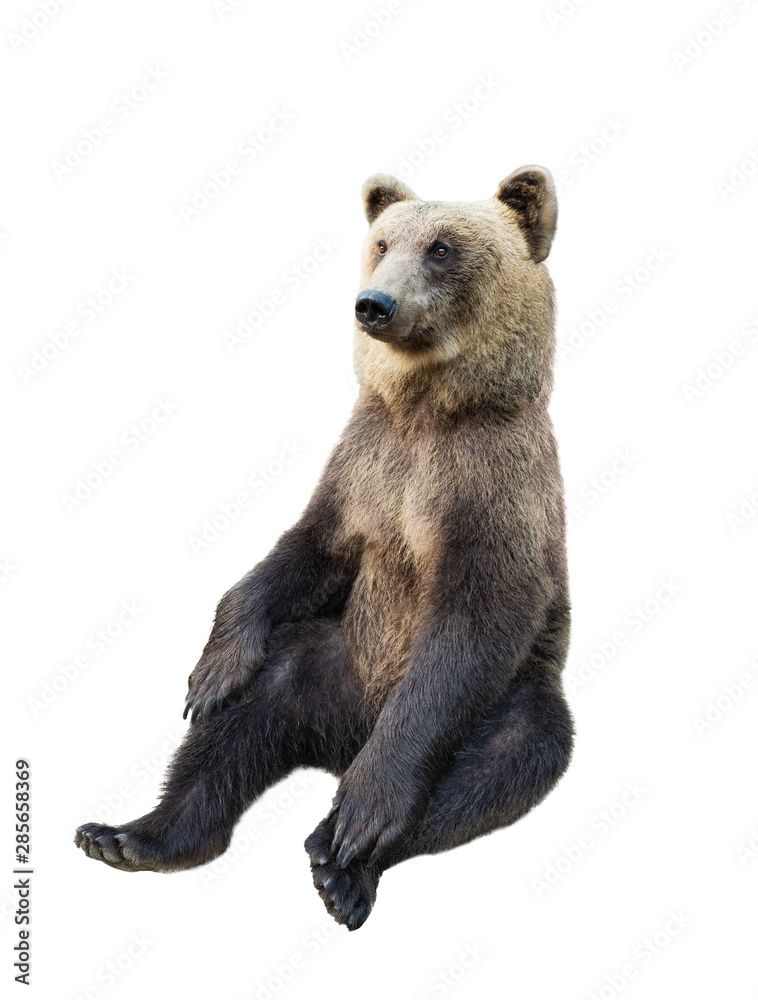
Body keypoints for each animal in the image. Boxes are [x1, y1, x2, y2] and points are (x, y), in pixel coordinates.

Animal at [75, 166, 574, 931]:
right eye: (382, 242)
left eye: (443, 247)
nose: (374, 304)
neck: (428, 409)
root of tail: (342, 740)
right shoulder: (366, 465)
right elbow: (304, 551)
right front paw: (211, 670)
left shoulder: (489, 491)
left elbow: (473, 624)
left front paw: (364, 815)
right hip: (328, 660)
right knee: (243, 719)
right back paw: (134, 835)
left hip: (510, 695)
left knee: (504, 760)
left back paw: (340, 858)